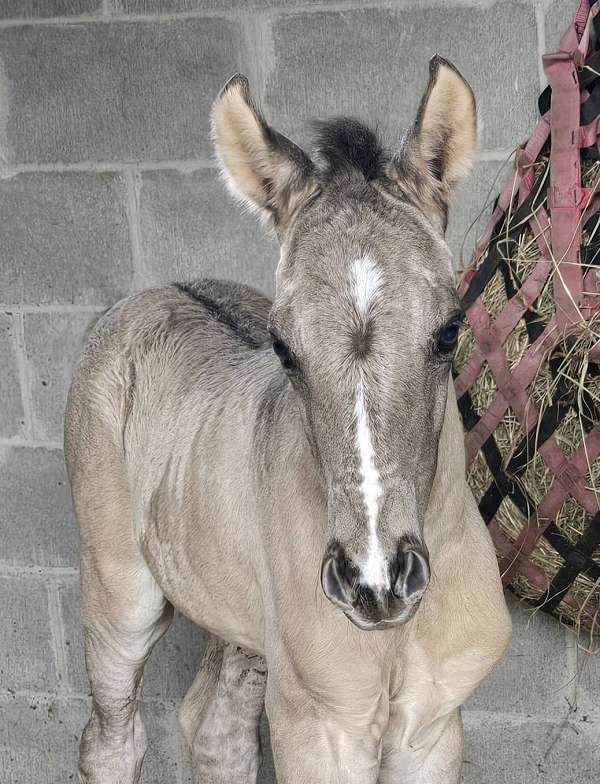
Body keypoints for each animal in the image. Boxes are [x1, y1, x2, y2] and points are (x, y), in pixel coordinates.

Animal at [64, 56, 511, 784]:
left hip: (240, 622)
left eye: (450, 331)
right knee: (112, 737)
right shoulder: (324, 729)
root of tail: (151, 293)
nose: (375, 582)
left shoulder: (431, 726)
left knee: (212, 726)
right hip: (120, 594)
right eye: (283, 347)